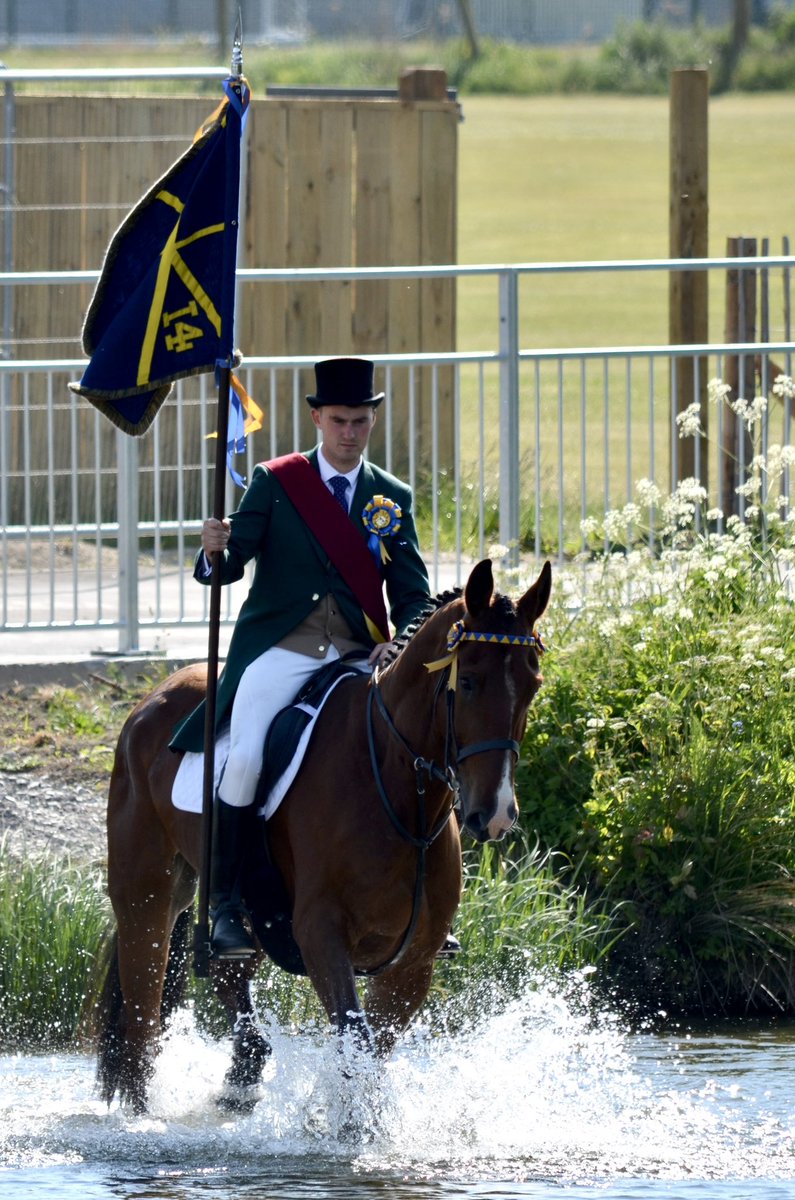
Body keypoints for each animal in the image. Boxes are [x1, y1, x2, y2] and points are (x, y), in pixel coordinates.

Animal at [94, 557, 551, 1113]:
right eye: (468, 683)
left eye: (532, 686)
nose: (496, 815)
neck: (397, 789)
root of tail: (151, 700)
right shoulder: (321, 932)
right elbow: (355, 1038)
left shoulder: (415, 959)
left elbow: (371, 1050)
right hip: (148, 891)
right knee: (142, 1008)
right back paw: (141, 1117)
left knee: (230, 987)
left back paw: (239, 1084)